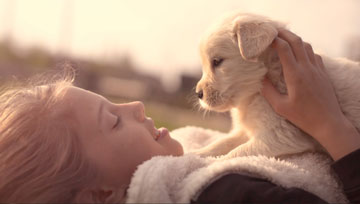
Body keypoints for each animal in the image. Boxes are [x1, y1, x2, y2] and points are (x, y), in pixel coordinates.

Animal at [195, 12, 360, 159]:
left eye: (217, 61)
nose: (198, 94)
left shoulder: (281, 135)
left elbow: (236, 153)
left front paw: (211, 163)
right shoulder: (246, 130)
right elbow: (222, 143)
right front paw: (197, 153)